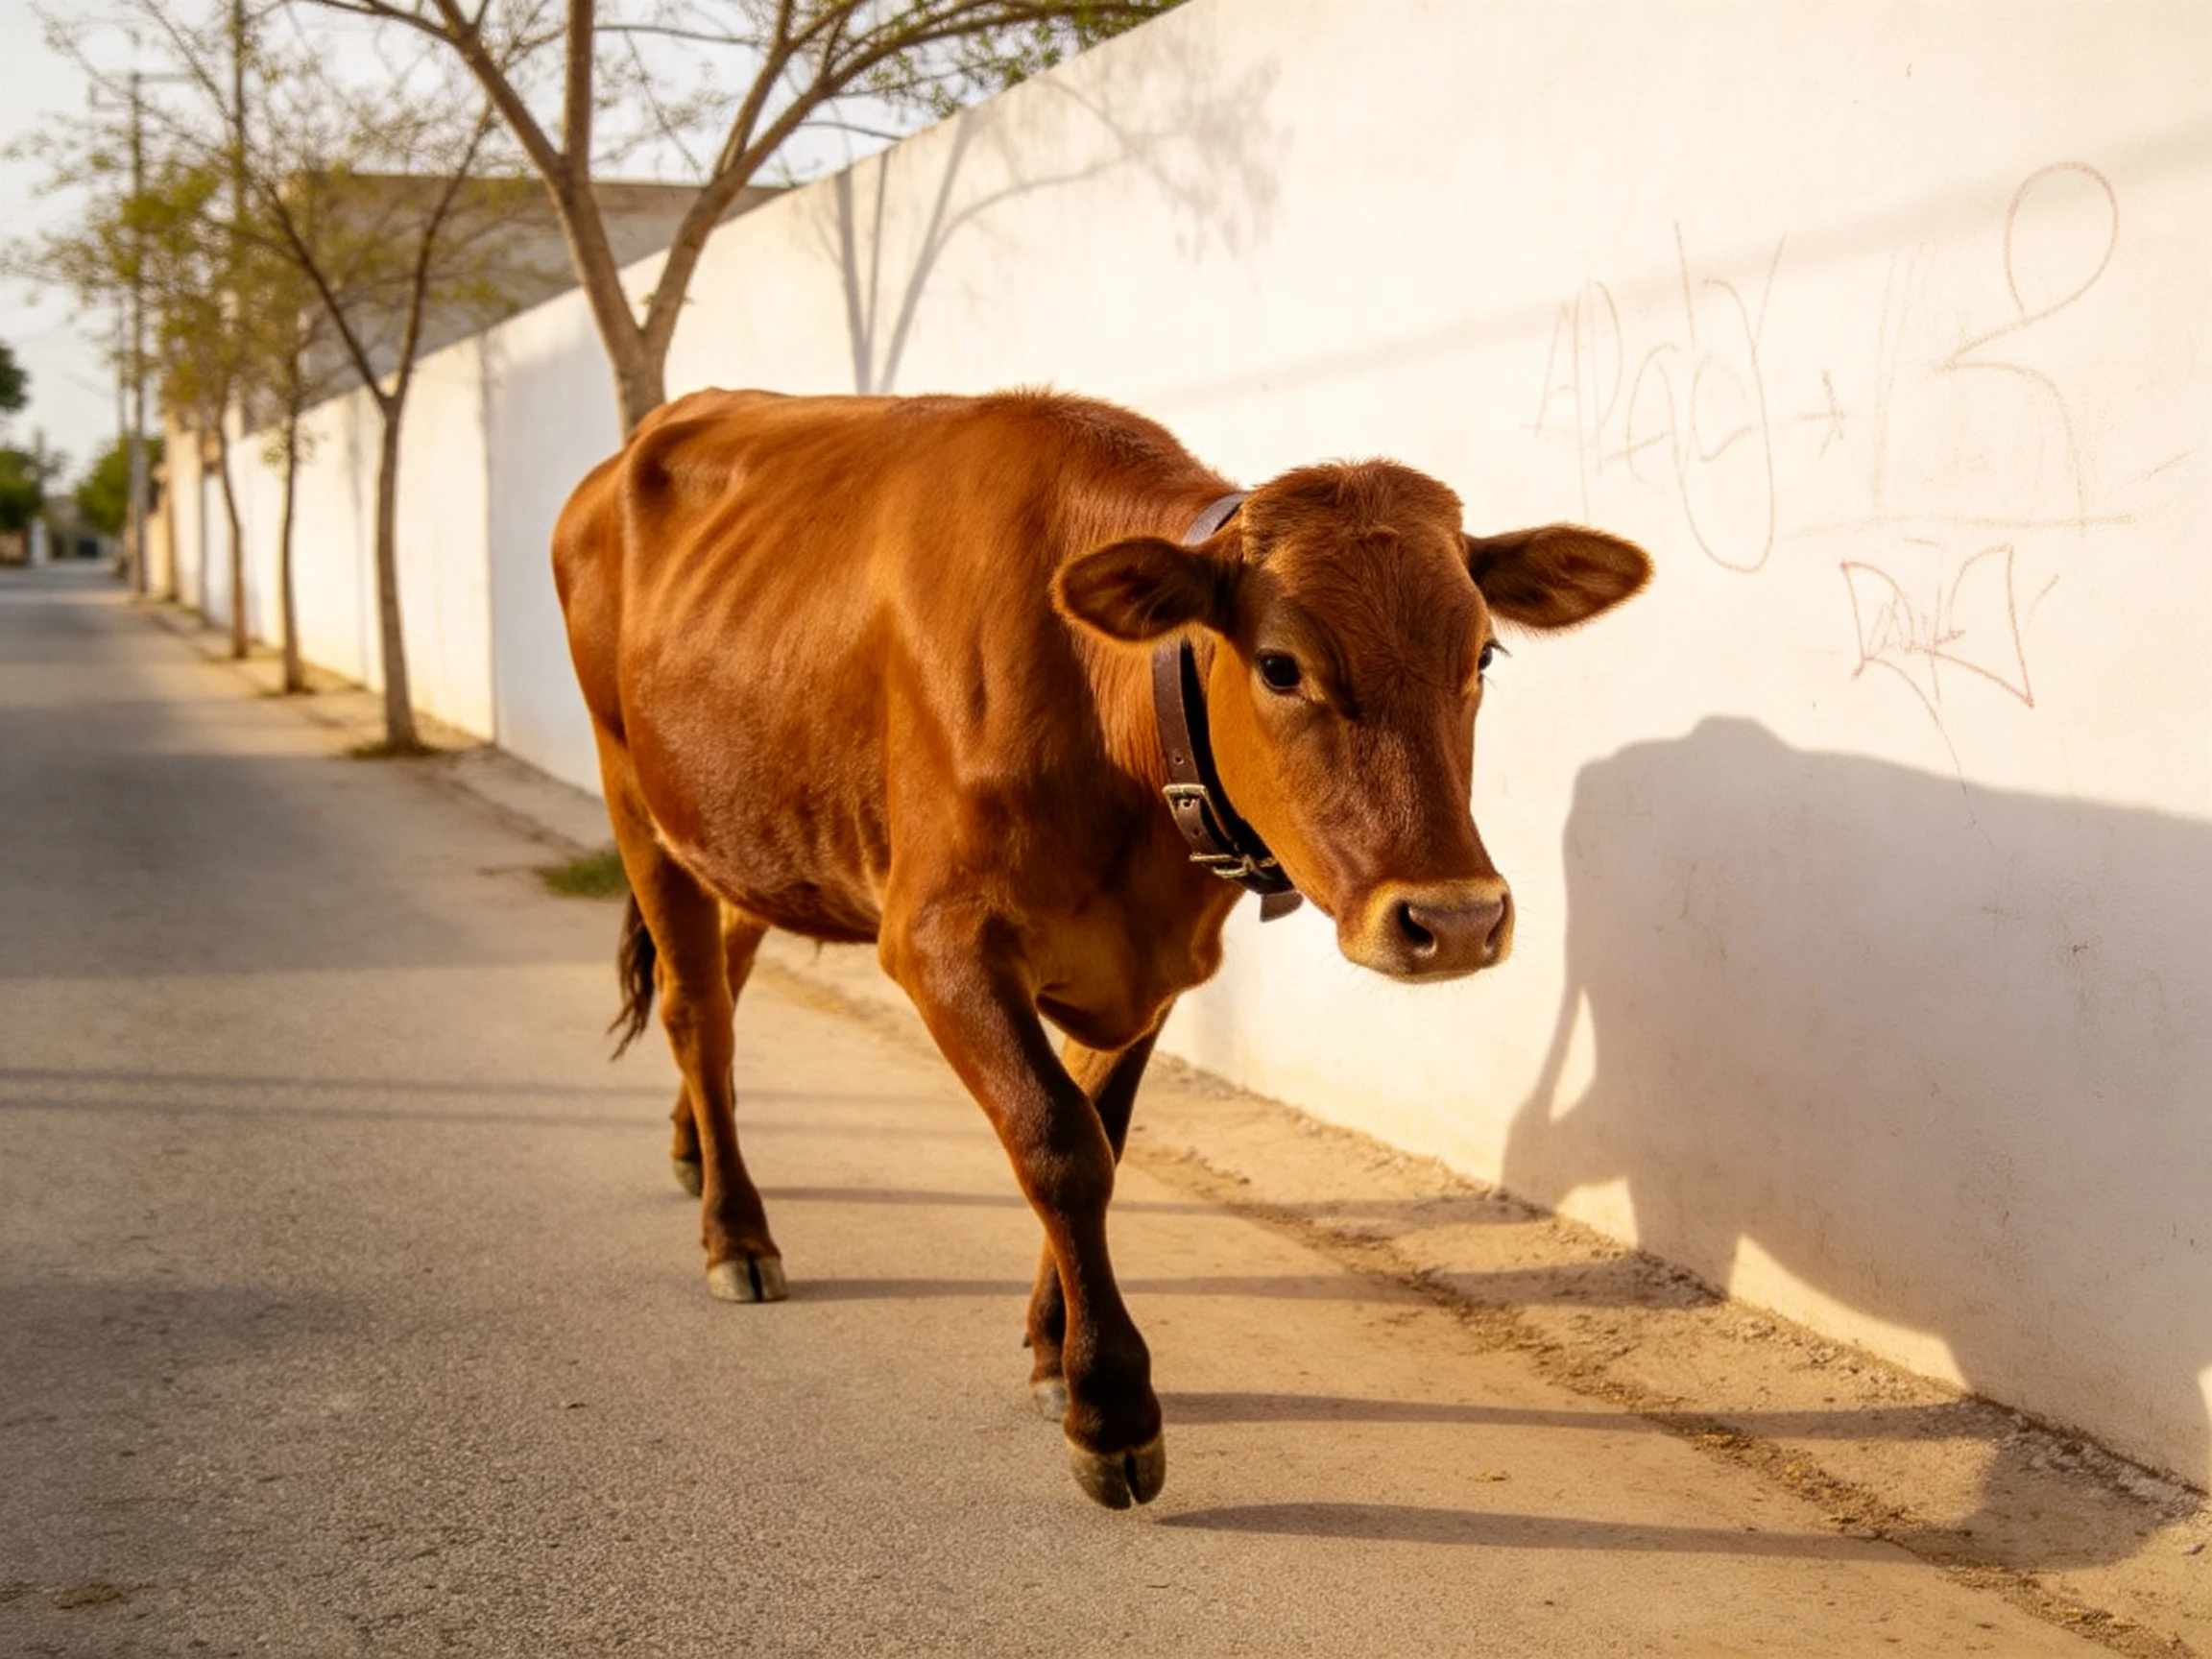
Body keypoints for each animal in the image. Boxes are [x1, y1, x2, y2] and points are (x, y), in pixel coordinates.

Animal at [552, 388, 1650, 1508]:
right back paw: (736, 1233)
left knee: (723, 984)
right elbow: (1057, 1142)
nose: (1456, 917)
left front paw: (1052, 1349)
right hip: (632, 793)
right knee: (696, 1009)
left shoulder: (1150, 967)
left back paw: (694, 1151)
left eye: (1482, 656)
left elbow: (1102, 1136)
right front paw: (1110, 1406)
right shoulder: (938, 942)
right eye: (1280, 666)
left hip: (744, 829)